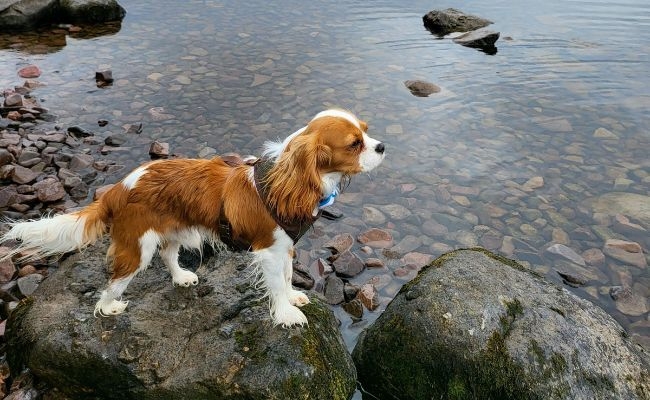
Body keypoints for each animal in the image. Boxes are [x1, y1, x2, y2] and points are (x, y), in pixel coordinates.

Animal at [1, 110, 384, 328]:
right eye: (354, 144)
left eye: (367, 131)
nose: (382, 147)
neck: (286, 181)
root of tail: (118, 188)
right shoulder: (270, 249)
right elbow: (276, 283)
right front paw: (286, 314)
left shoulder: (285, 246)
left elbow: (288, 276)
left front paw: (292, 297)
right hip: (136, 246)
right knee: (113, 282)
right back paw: (109, 308)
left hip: (172, 229)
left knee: (169, 255)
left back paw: (181, 277)